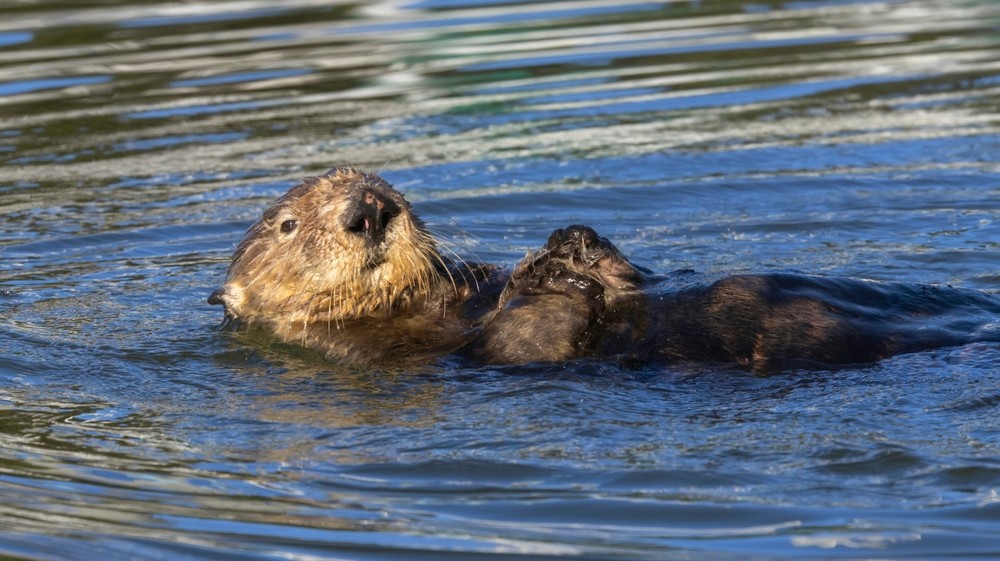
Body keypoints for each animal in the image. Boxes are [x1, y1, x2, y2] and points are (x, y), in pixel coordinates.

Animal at [210, 168, 1000, 370]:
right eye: (288, 224)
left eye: (392, 190)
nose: (370, 209)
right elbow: (529, 342)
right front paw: (557, 283)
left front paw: (570, 249)